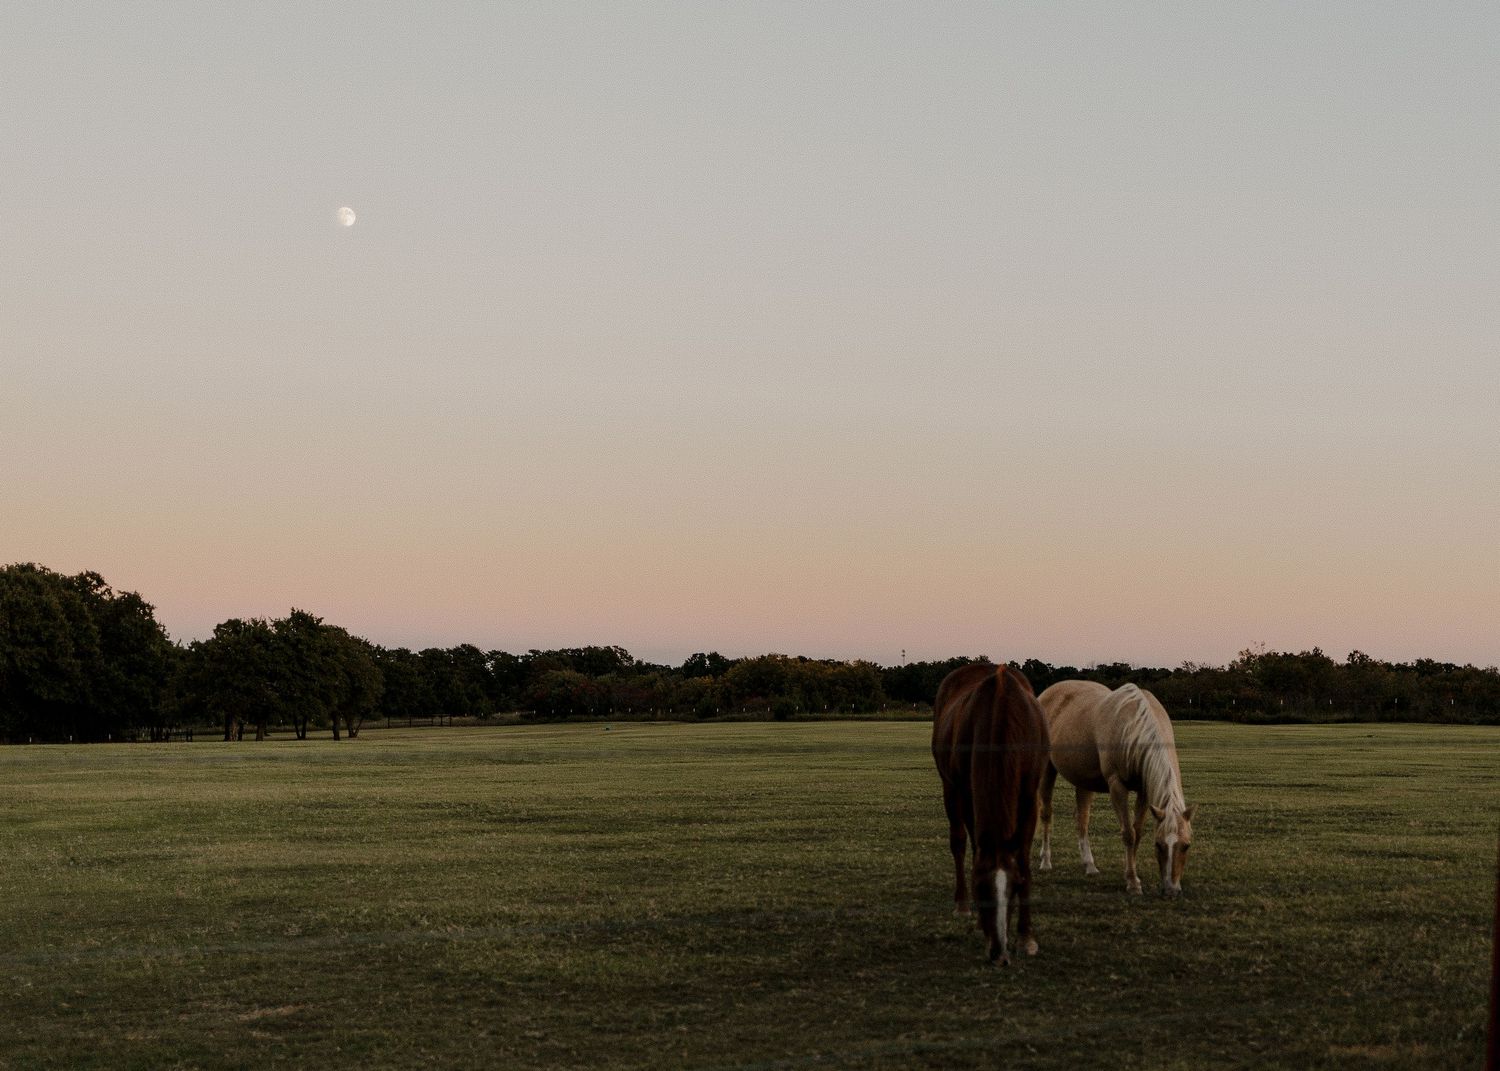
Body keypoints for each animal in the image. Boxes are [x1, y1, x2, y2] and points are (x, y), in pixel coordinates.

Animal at [932, 663, 1051, 964]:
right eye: (980, 887)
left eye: (1015, 887)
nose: (999, 954)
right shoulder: (968, 792)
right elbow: (974, 846)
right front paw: (980, 925)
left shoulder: (1028, 795)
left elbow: (1023, 859)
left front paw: (1026, 936)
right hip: (950, 787)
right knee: (959, 841)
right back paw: (962, 905)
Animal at [1036, 680, 1197, 896]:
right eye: (1158, 844)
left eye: (1186, 846)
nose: (1171, 890)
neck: (1133, 725)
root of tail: (1046, 693)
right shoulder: (1116, 785)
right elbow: (1128, 834)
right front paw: (1133, 882)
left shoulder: (1144, 791)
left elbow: (1137, 833)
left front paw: (1131, 875)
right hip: (1047, 769)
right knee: (1046, 814)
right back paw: (1045, 861)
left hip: (1083, 781)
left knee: (1082, 820)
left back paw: (1089, 865)